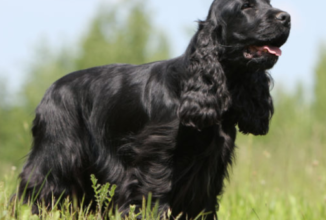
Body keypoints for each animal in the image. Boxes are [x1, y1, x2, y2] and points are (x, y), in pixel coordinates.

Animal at [17, 0, 290, 219]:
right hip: (56, 155)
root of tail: (49, 91)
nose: (286, 17)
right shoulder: (156, 161)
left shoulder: (209, 169)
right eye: (246, 6)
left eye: (268, 2)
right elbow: (152, 200)